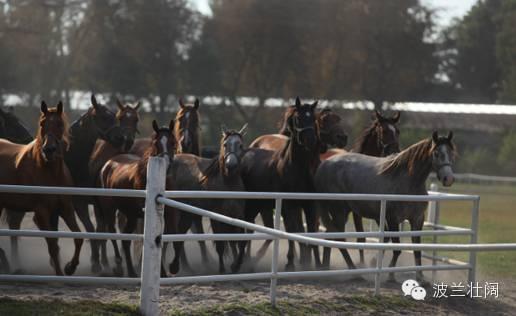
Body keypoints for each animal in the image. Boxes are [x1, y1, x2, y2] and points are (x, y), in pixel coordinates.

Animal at [0, 101, 83, 274]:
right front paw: (60, 273)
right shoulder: (41, 213)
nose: (49, 150)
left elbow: (78, 238)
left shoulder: (65, 209)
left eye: (59, 124)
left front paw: (70, 267)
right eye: (42, 124)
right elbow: (52, 245)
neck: (51, 173)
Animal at [96, 119, 175, 276]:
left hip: (130, 214)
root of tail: (109, 163)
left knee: (125, 240)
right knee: (113, 231)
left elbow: (162, 238)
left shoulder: (165, 215)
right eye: (155, 142)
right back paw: (119, 265)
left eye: (173, 142)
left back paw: (131, 271)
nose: (166, 164)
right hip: (109, 208)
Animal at [167, 123, 250, 274]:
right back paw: (174, 267)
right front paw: (222, 269)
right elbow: (220, 245)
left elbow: (241, 241)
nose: (231, 165)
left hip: (187, 213)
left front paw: (236, 265)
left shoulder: (237, 215)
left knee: (180, 233)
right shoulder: (216, 216)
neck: (228, 183)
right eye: (225, 144)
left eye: (240, 145)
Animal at [314, 131, 456, 282]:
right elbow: (397, 249)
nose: (448, 179)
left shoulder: (417, 219)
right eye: (436, 153)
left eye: (450, 152)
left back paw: (326, 268)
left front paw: (420, 277)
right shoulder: (393, 219)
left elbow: (417, 249)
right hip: (339, 211)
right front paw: (390, 275)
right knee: (339, 239)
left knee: (330, 236)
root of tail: (324, 165)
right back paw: (354, 271)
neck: (408, 181)